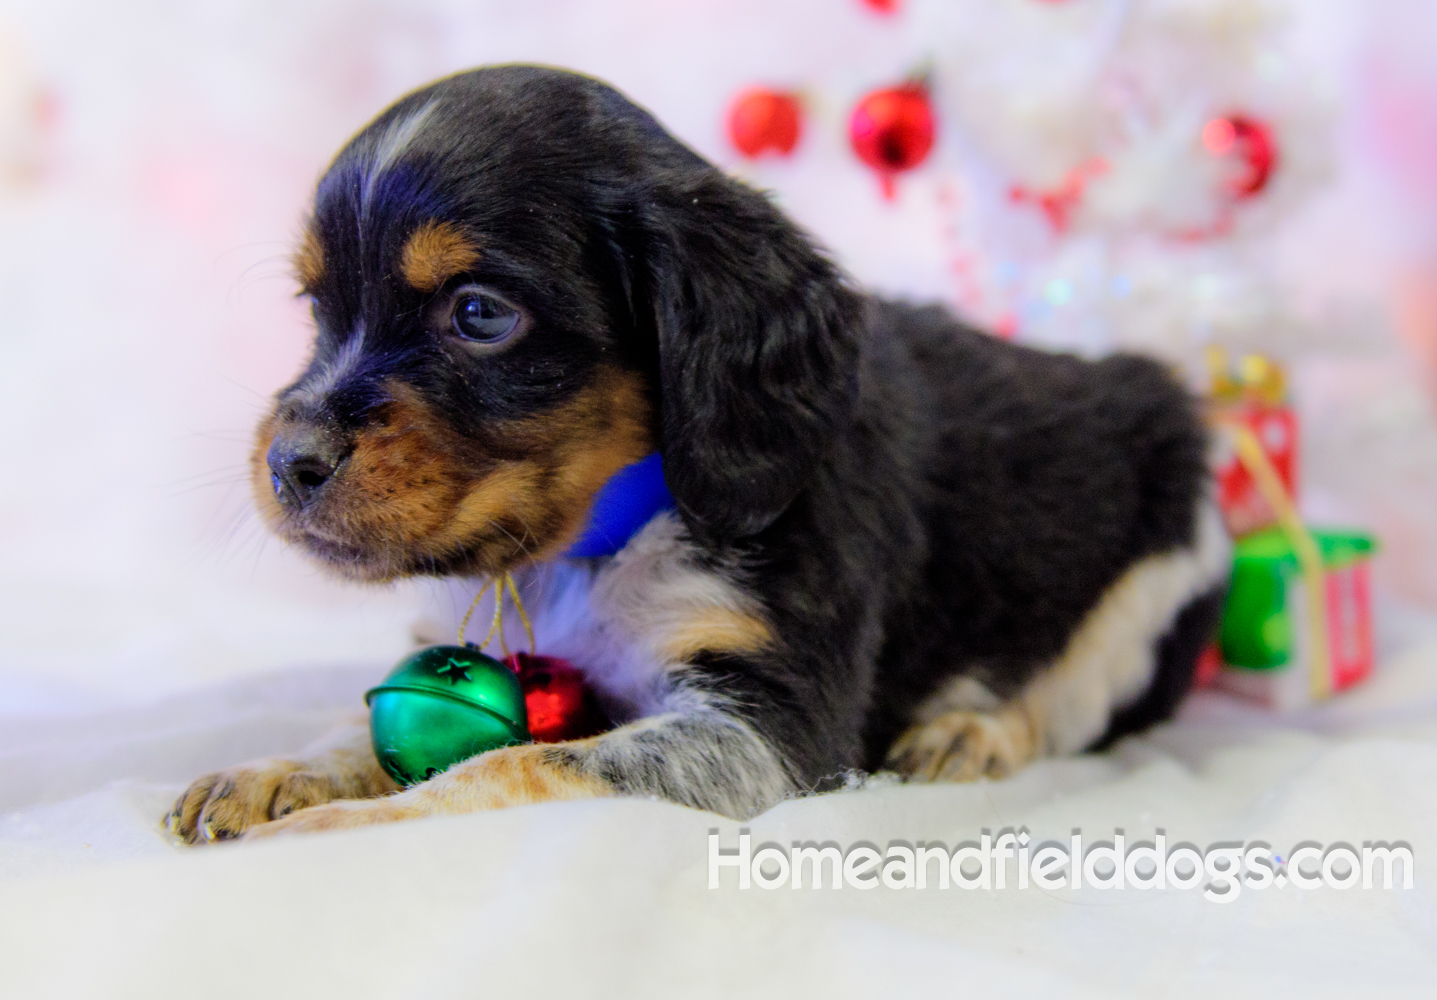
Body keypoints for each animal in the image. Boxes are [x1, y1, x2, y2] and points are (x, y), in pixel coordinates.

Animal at [165, 64, 1224, 844]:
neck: (593, 550)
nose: (287, 463)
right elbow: (368, 723)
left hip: (1159, 575)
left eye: (479, 315)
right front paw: (275, 773)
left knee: (1075, 703)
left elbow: (509, 766)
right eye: (315, 311)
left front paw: (336, 829)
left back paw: (968, 733)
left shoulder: (765, 735)